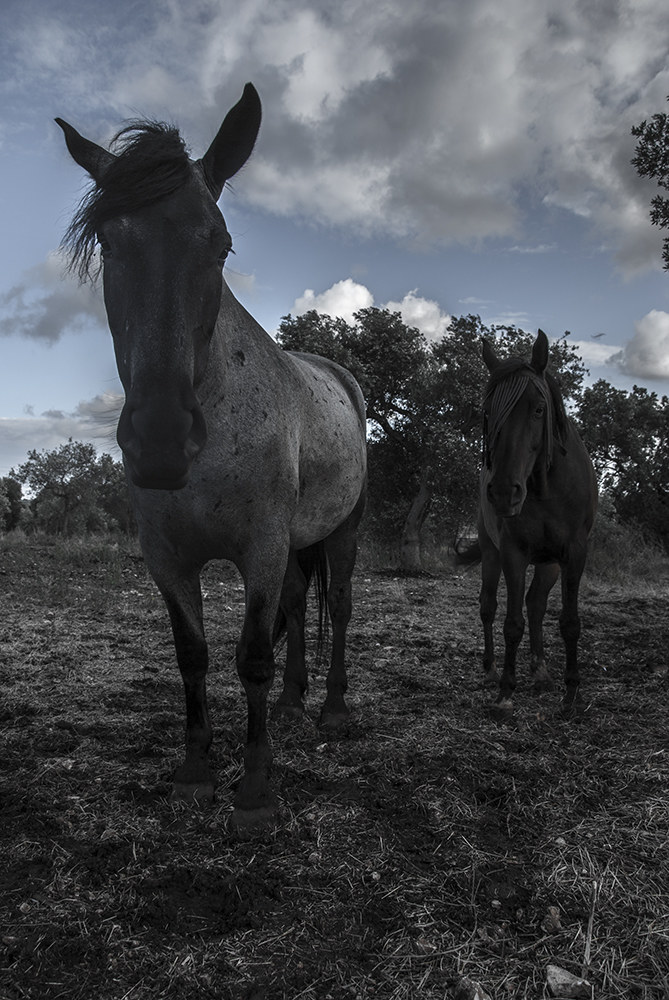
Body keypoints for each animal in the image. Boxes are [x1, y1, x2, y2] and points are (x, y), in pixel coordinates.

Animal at [56, 83, 367, 829]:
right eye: (109, 241)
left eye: (220, 245)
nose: (161, 443)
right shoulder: (168, 558)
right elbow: (192, 655)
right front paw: (196, 769)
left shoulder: (259, 547)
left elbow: (251, 656)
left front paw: (254, 787)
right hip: (298, 543)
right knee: (299, 603)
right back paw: (292, 702)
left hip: (341, 530)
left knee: (339, 607)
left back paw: (332, 709)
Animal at [475, 329, 597, 719]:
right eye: (489, 412)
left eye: (538, 410)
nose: (502, 492)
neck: (547, 488)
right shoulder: (513, 552)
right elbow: (512, 624)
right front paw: (505, 692)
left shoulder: (573, 554)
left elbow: (569, 623)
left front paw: (571, 692)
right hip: (490, 552)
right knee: (488, 606)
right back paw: (491, 669)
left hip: (549, 564)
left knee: (536, 603)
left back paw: (540, 670)